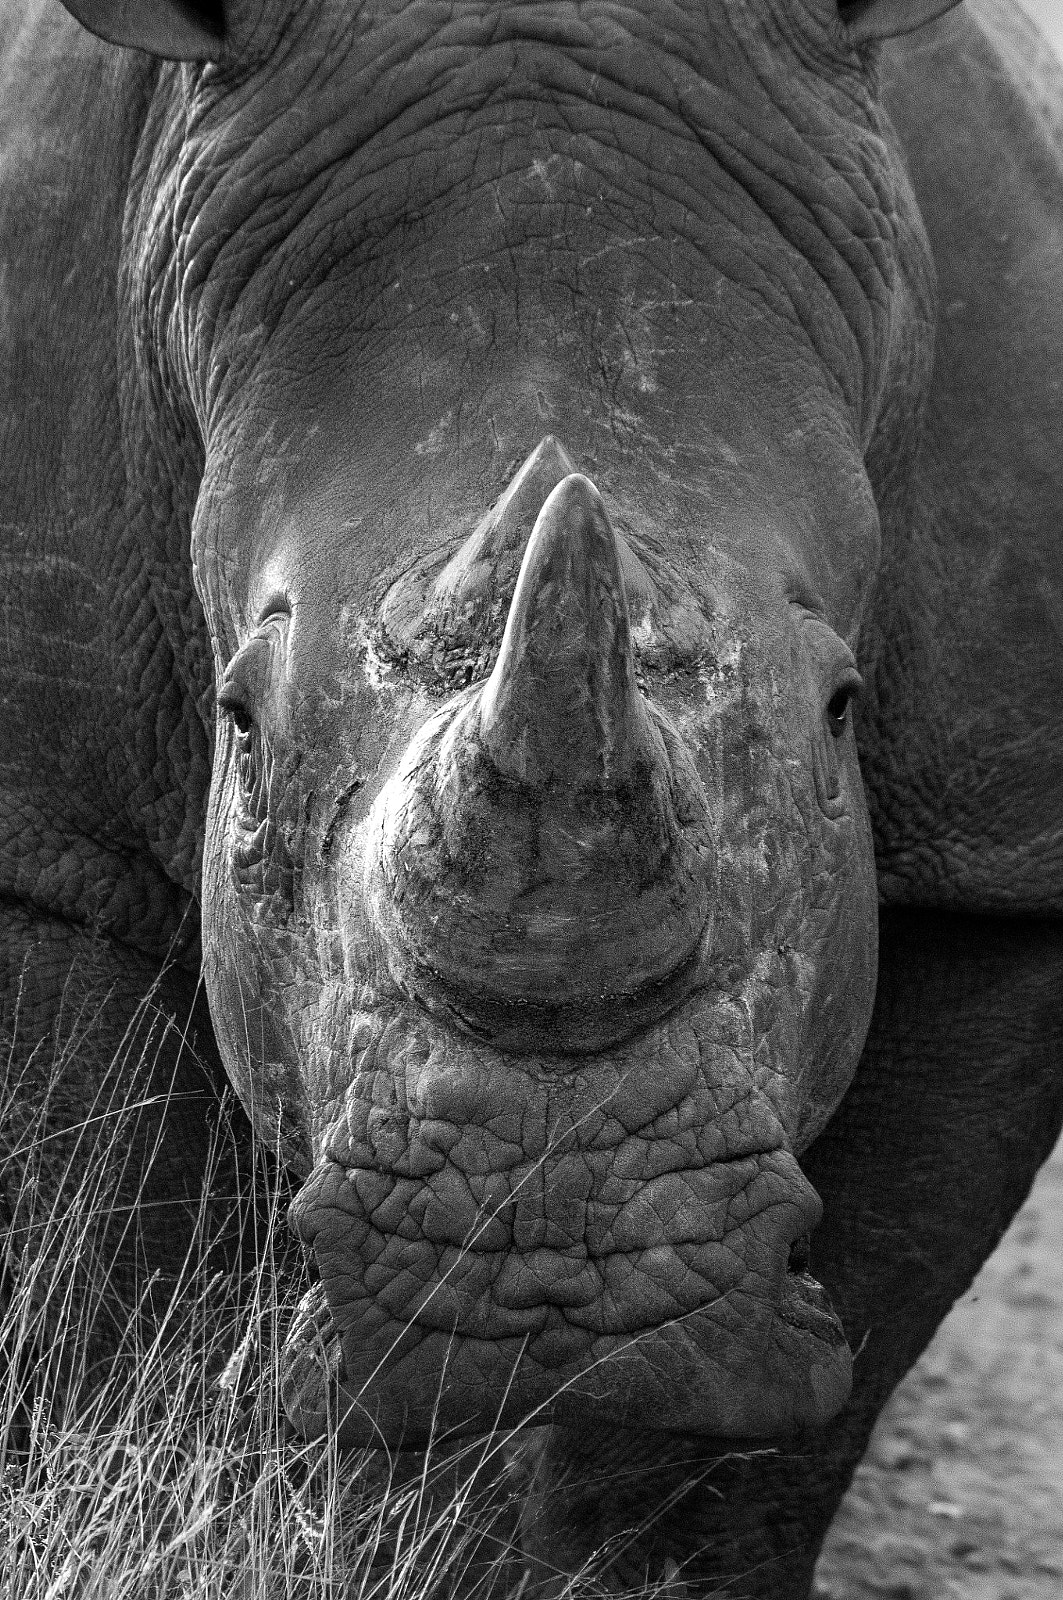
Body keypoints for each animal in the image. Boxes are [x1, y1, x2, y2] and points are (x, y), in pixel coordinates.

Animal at [2, 0, 1061, 1591]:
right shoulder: (38, 822)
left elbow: (800, 1378)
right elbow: (83, 1247)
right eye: (238, 725)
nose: (553, 1275)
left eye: (838, 712)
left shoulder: (995, 852)